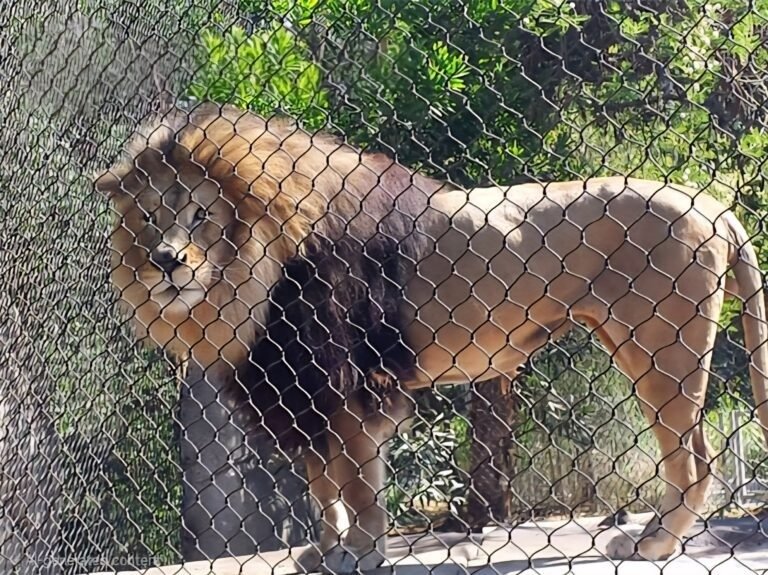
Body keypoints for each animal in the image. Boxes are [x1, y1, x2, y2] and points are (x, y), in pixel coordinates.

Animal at [95, 102, 768, 572]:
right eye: (150, 217)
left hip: (659, 348)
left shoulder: (348, 381)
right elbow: (321, 486)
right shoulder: (305, 389)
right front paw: (324, 550)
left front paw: (361, 552)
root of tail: (711, 205)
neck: (246, 276)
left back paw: (652, 544)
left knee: (695, 460)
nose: (166, 261)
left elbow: (357, 483)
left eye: (201, 215)